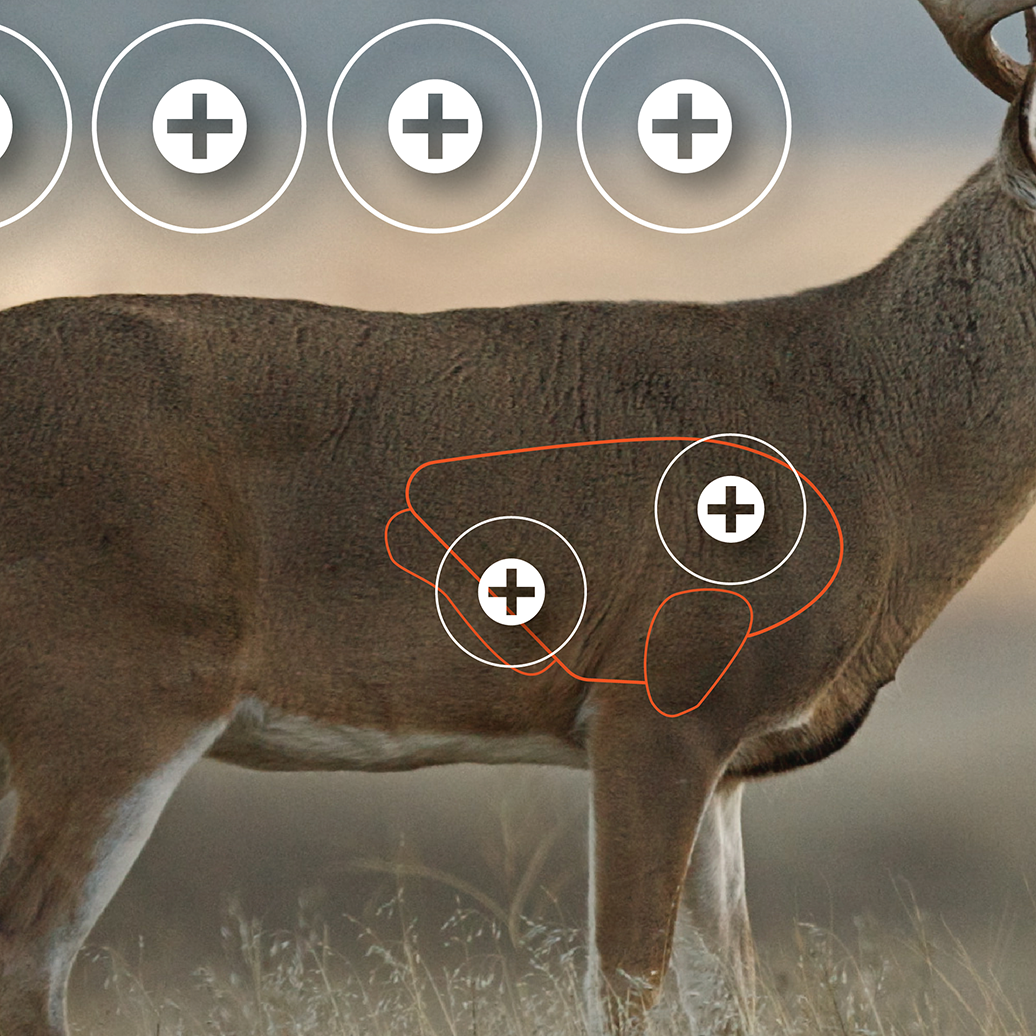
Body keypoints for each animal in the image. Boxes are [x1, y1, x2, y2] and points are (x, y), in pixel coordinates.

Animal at [1, 0, 1035, 1033]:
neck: (871, 443)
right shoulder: (654, 698)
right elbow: (624, 981)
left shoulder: (728, 757)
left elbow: (726, 992)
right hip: (110, 684)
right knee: (30, 957)